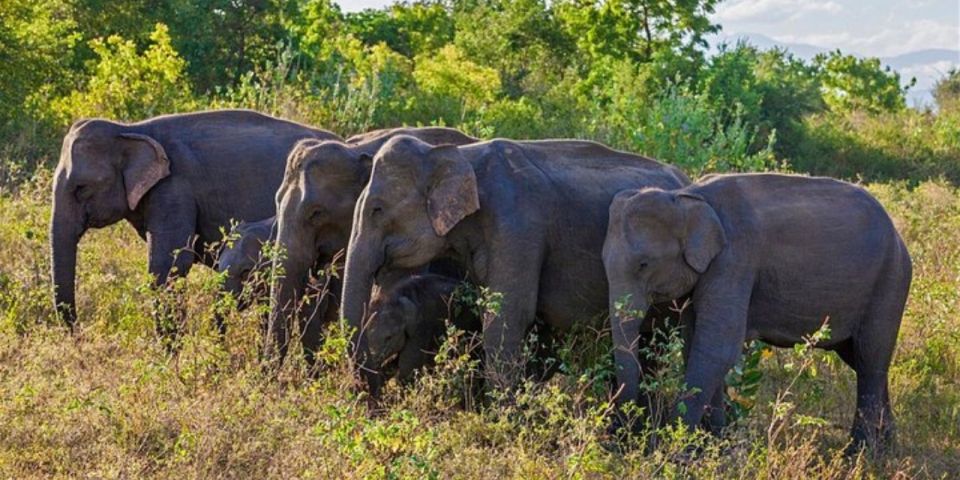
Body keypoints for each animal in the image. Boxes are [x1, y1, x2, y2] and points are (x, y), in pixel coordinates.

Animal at [604, 172, 912, 450]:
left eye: (644, 264)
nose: (622, 439)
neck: (688, 197)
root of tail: (898, 236)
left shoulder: (735, 259)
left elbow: (717, 347)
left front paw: (675, 448)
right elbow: (696, 344)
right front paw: (715, 442)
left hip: (890, 281)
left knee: (870, 358)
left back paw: (859, 453)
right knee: (861, 359)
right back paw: (887, 447)